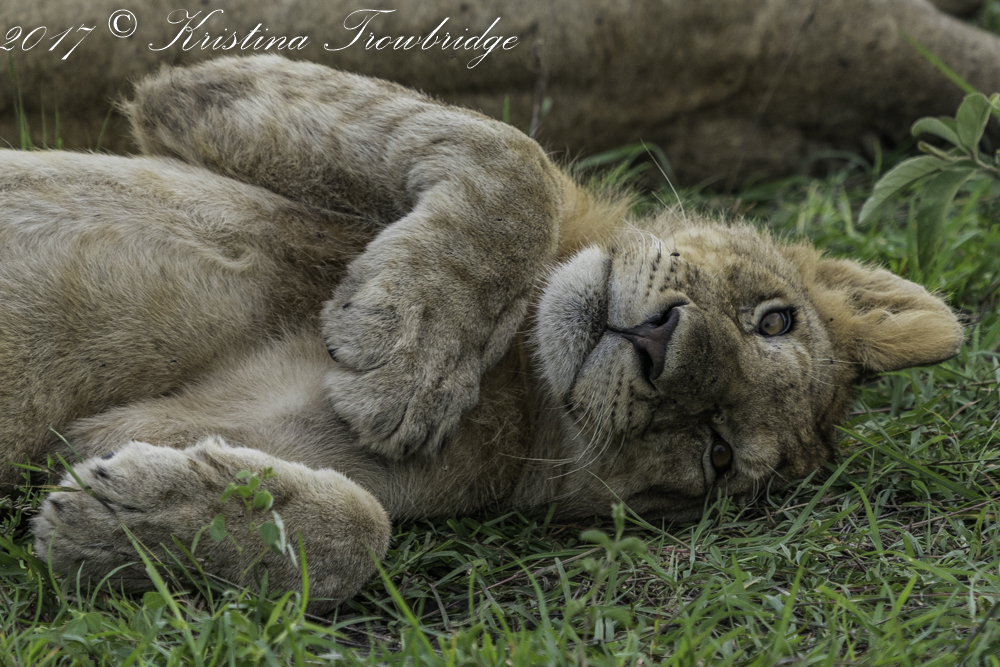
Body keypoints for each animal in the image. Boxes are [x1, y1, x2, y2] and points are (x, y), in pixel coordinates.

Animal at [0, 56, 961, 611]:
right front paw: (409, 346)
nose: (659, 346)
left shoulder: (112, 431)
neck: (520, 376)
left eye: (716, 452)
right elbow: (513, 153)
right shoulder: (201, 94)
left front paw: (123, 521)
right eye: (773, 318)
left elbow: (361, 532)